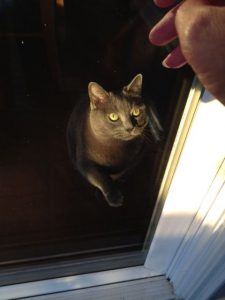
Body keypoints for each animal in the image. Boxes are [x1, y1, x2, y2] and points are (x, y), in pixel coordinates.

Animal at [67, 74, 160, 207]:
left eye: (136, 112)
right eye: (113, 117)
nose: (130, 127)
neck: (118, 146)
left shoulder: (135, 156)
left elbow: (118, 173)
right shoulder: (83, 161)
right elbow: (99, 176)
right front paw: (114, 197)